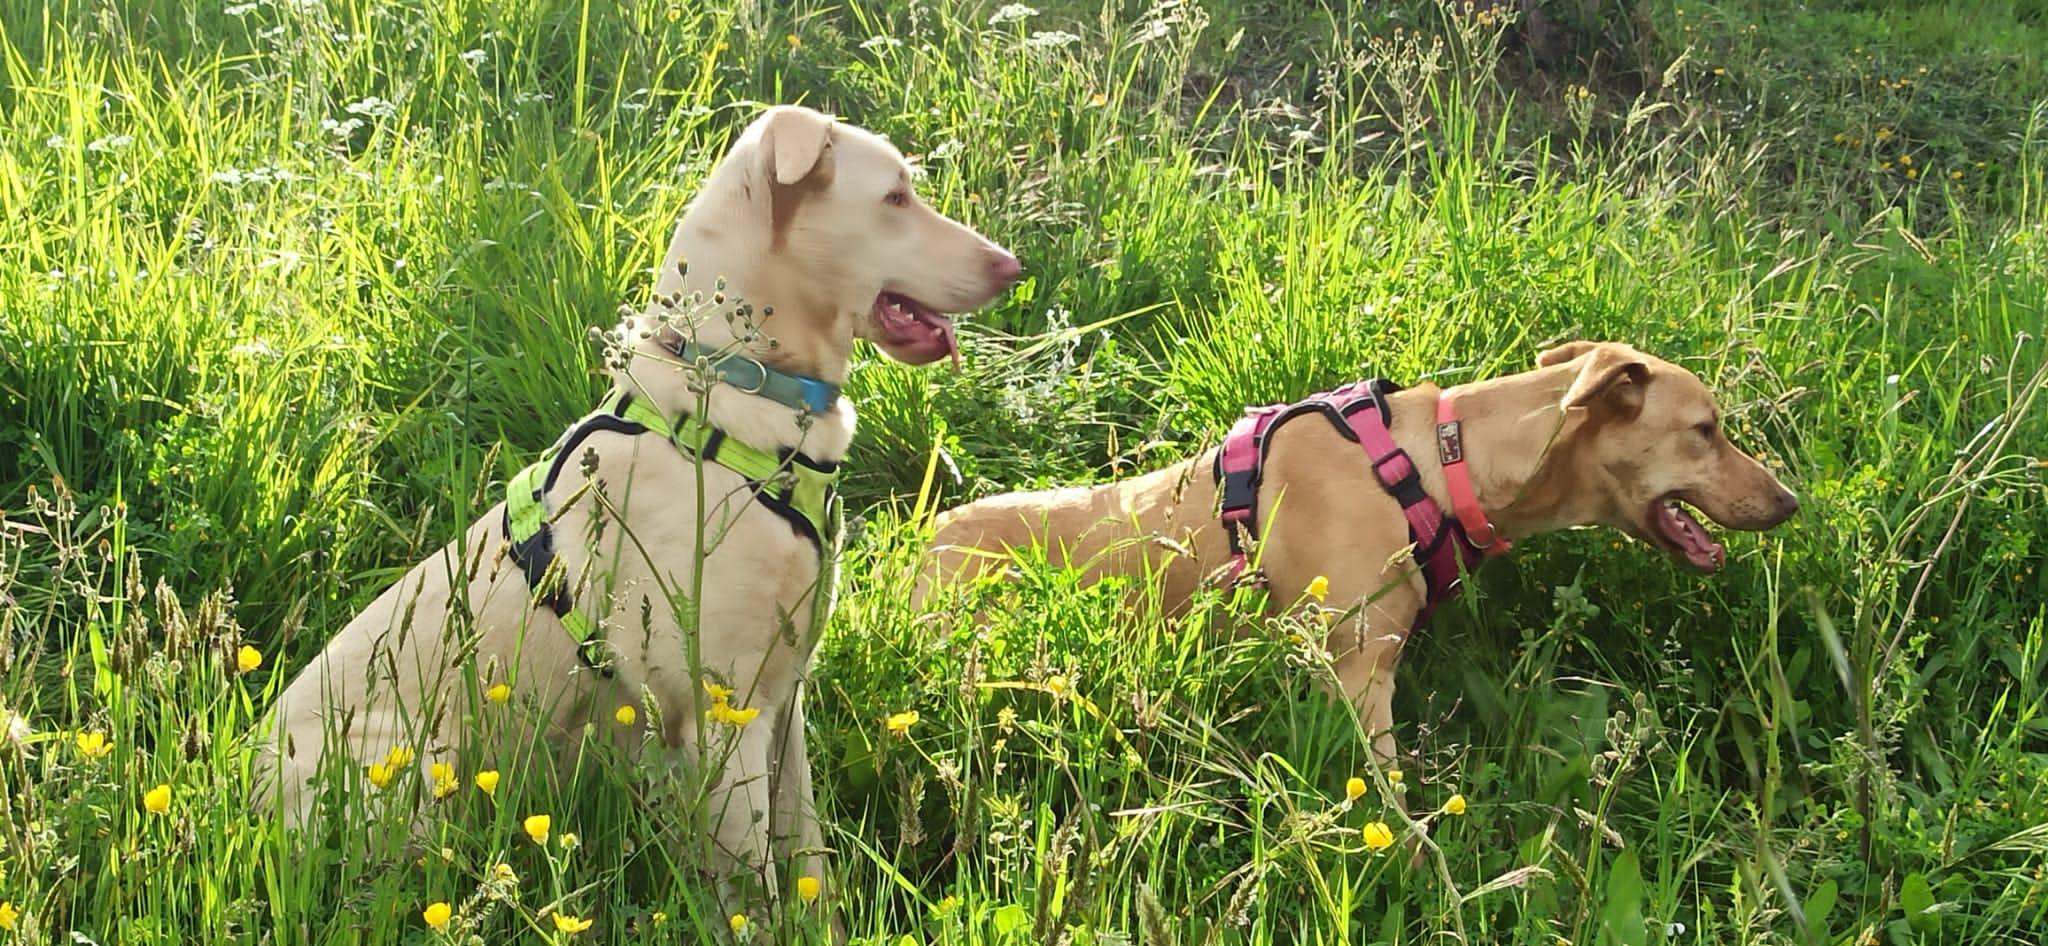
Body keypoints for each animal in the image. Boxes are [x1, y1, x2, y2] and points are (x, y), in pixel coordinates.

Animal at [260, 105, 1019, 909]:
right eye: (896, 198)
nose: (1013, 267)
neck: (736, 382)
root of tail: (235, 786)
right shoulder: (723, 716)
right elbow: (756, 894)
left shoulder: (782, 702)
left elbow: (809, 861)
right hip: (410, 766)